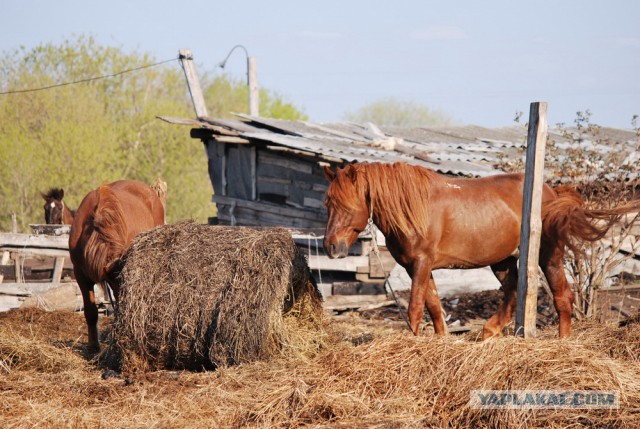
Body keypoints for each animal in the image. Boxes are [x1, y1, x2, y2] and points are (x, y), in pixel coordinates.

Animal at [324, 162, 640, 340]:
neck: (414, 207)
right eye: (328, 203)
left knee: (562, 296)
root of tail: (553, 194)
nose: (331, 247)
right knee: (513, 290)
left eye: (346, 205)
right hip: (503, 260)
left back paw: (562, 342)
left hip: (547, 256)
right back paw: (490, 331)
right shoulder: (419, 267)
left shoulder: (422, 264)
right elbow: (434, 307)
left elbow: (415, 308)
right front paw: (440, 341)